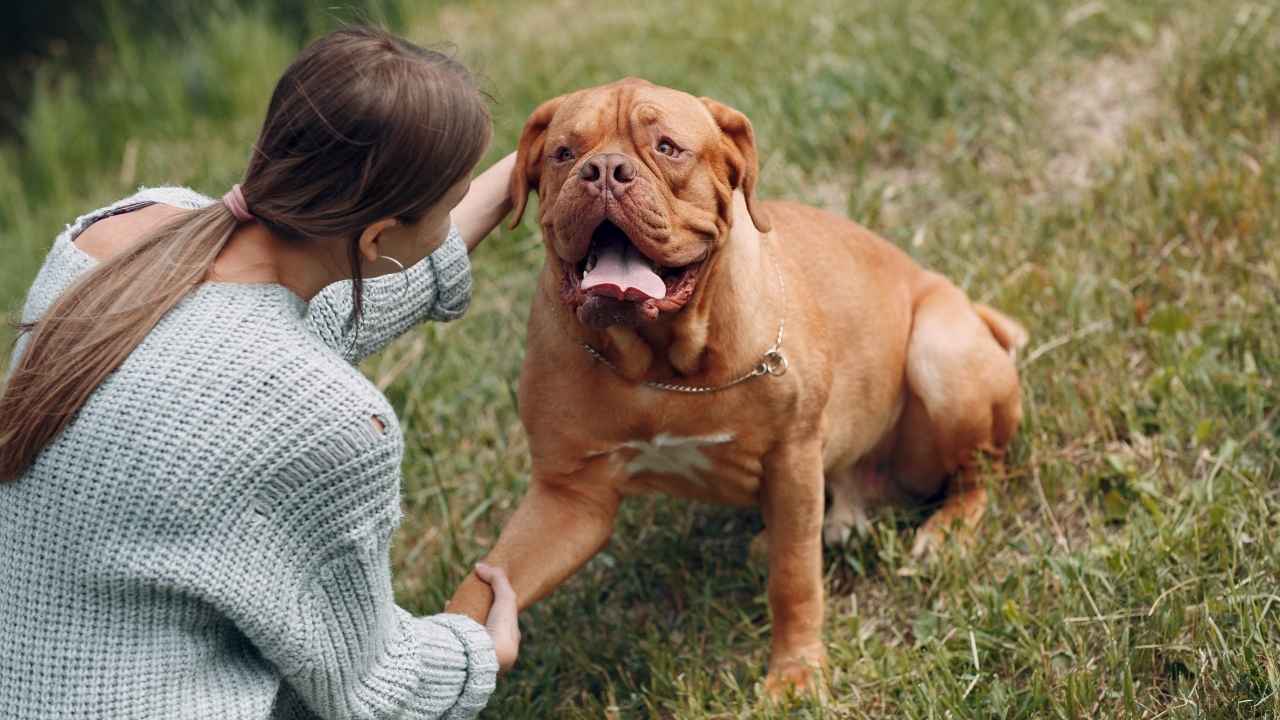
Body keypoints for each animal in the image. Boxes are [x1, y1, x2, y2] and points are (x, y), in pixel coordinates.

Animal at [445, 77, 1024, 691]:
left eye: (668, 148)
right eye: (563, 153)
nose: (603, 169)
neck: (657, 364)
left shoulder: (792, 455)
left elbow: (794, 579)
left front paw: (795, 674)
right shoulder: (570, 499)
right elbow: (483, 587)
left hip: (941, 352)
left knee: (980, 472)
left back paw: (947, 529)